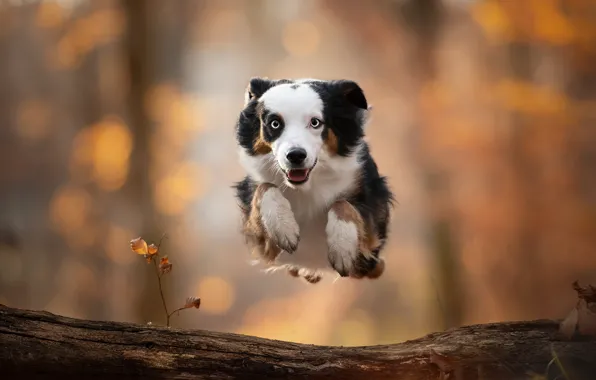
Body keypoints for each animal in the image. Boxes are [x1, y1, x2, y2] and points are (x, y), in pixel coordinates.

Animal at [234, 77, 396, 284]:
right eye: (275, 124)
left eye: (315, 122)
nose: (295, 155)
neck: (307, 185)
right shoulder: (264, 246)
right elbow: (265, 186)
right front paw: (283, 227)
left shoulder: (372, 228)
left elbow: (342, 203)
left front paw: (342, 247)